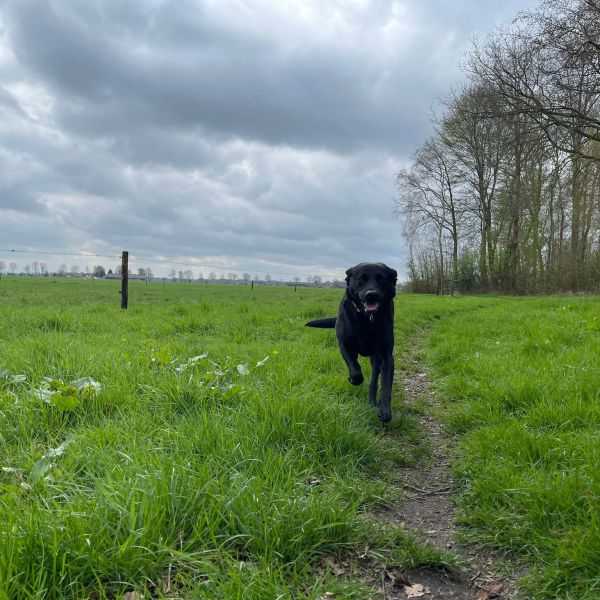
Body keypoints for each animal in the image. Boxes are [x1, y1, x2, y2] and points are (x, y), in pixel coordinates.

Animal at [308, 262, 396, 422]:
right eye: (361, 279)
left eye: (381, 279)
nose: (371, 294)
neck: (367, 319)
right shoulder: (345, 344)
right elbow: (355, 369)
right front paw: (354, 379)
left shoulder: (386, 356)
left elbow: (386, 385)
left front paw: (385, 410)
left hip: (375, 359)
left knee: (374, 380)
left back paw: (373, 400)